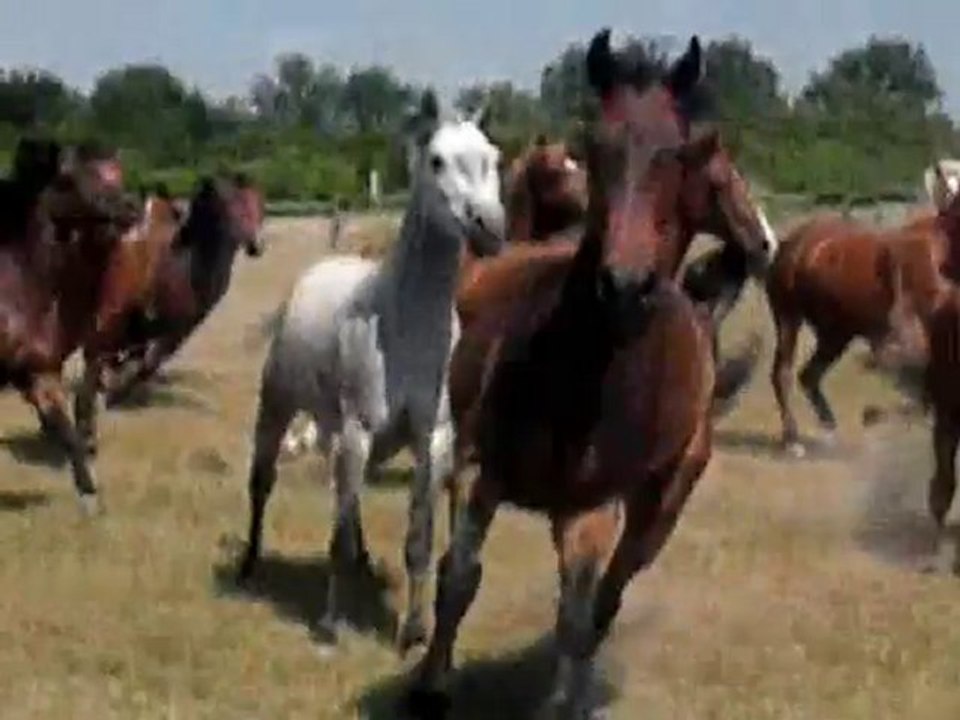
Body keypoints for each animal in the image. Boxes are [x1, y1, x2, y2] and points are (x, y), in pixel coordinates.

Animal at [0, 138, 140, 512]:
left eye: (116, 175)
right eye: (70, 179)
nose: (132, 208)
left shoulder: (36, 371)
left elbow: (65, 426)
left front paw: (89, 491)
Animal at [98, 174, 266, 407]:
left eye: (259, 205)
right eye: (235, 206)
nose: (256, 245)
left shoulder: (178, 329)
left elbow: (147, 363)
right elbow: (135, 360)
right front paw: (114, 390)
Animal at [236, 90, 506, 655]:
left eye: (494, 156)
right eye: (437, 160)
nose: (489, 229)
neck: (400, 322)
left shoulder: (432, 440)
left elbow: (418, 539)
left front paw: (413, 632)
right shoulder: (359, 430)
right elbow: (335, 537)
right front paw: (329, 626)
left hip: (336, 428)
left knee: (347, 499)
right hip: (279, 407)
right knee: (262, 483)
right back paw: (249, 564)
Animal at [406, 29, 759, 720]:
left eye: (681, 152)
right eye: (595, 144)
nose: (623, 285)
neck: (575, 371)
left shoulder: (591, 510)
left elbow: (578, 613)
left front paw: (562, 700)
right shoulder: (480, 467)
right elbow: (458, 576)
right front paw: (430, 688)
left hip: (659, 503)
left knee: (605, 598)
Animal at [765, 167, 953, 457]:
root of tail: (788, 244)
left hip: (836, 333)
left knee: (808, 375)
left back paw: (829, 427)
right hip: (788, 317)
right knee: (783, 373)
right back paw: (792, 439)